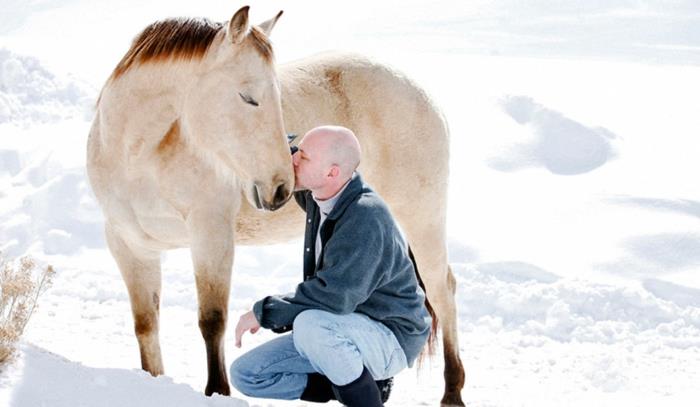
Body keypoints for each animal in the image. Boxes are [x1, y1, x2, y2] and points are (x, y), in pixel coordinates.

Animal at [86, 6, 464, 407]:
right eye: (248, 97)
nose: (281, 186)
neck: (139, 158)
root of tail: (421, 92)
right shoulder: (130, 246)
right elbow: (146, 324)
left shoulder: (210, 237)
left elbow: (212, 321)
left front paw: (217, 391)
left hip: (421, 217)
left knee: (441, 291)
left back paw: (452, 391)